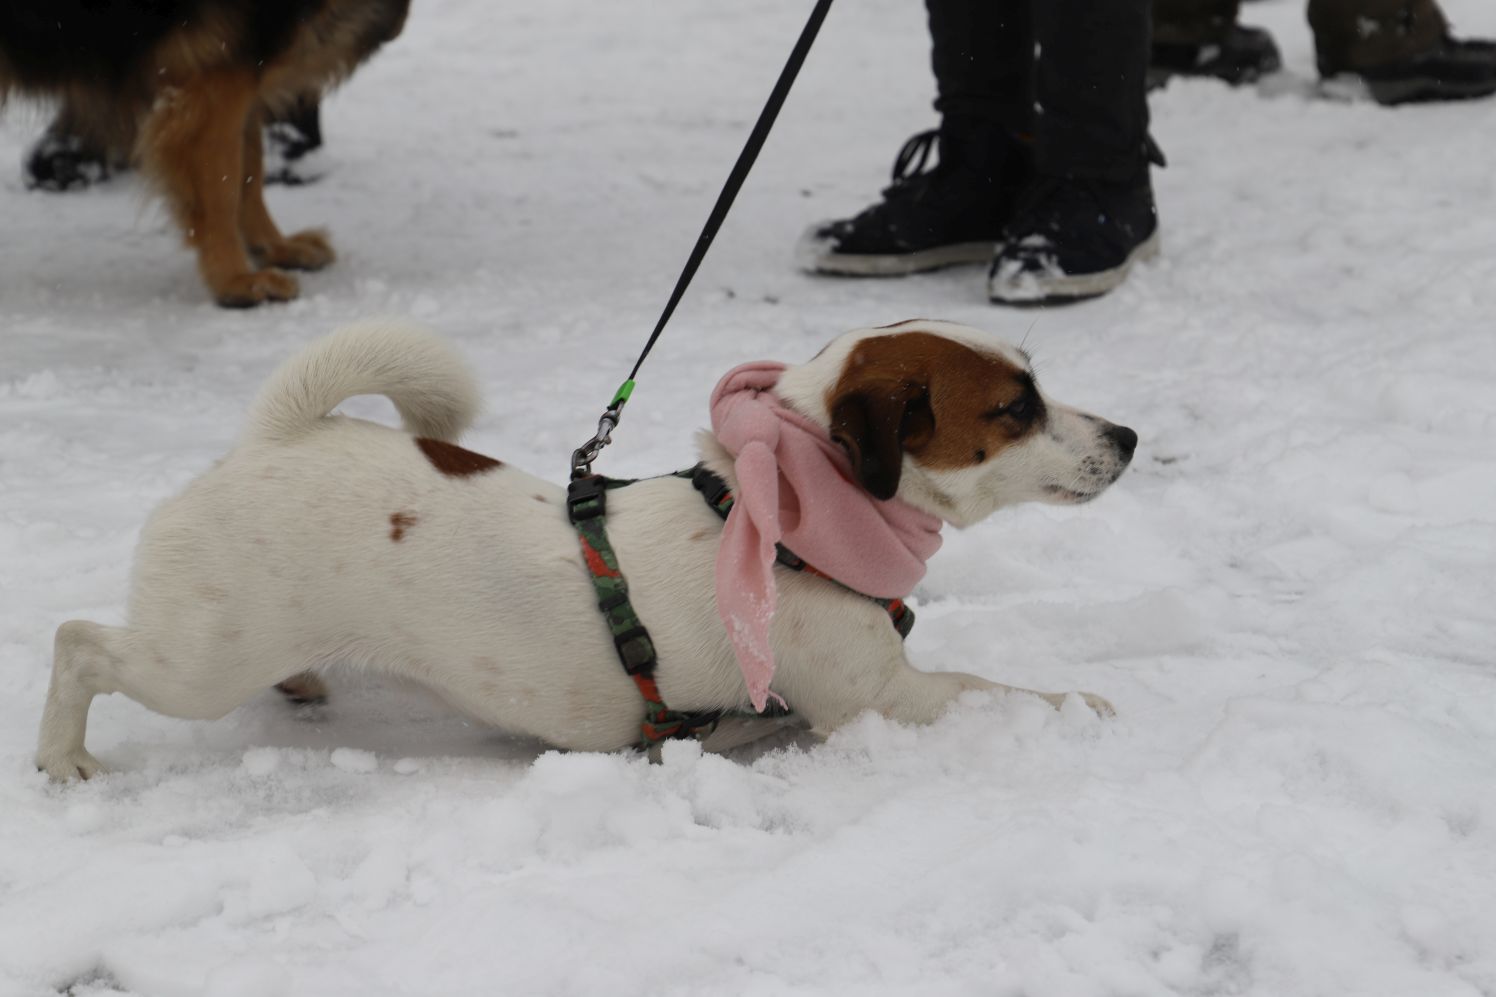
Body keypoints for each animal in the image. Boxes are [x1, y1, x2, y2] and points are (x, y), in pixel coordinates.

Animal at [0, 0, 409, 305]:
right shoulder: (216, 77)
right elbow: (222, 188)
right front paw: (235, 280)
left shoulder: (238, 70)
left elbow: (249, 175)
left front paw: (274, 247)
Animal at [35, 318, 1130, 778]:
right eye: (1016, 408)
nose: (1124, 436)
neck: (787, 508)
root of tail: (280, 435)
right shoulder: (884, 702)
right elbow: (993, 688)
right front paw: (1083, 703)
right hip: (199, 660)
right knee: (79, 642)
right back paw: (63, 753)